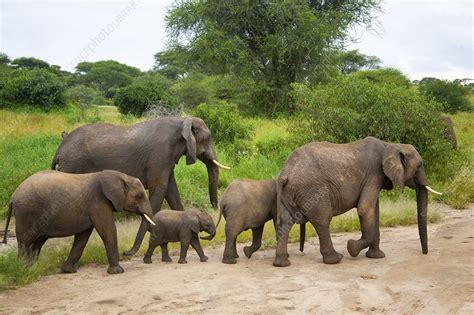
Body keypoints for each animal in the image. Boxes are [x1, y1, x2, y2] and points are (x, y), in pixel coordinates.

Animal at [3, 169, 156, 276]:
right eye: (139, 196)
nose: (126, 252)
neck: (121, 176)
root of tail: (13, 197)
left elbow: (83, 237)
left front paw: (68, 271)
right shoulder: (98, 202)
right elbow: (108, 231)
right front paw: (117, 272)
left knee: (37, 243)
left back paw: (32, 268)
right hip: (26, 214)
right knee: (25, 242)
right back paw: (23, 270)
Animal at [51, 117, 229, 258]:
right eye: (208, 137)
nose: (213, 208)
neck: (181, 120)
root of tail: (59, 150)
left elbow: (171, 190)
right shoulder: (160, 155)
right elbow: (159, 189)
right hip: (73, 165)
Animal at [272, 137, 442, 268]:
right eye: (419, 165)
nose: (424, 253)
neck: (391, 145)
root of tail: (285, 172)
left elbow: (374, 211)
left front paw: (376, 256)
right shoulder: (374, 173)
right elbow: (365, 209)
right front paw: (352, 248)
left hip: (289, 193)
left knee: (285, 222)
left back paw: (282, 263)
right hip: (312, 190)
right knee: (323, 219)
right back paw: (335, 259)